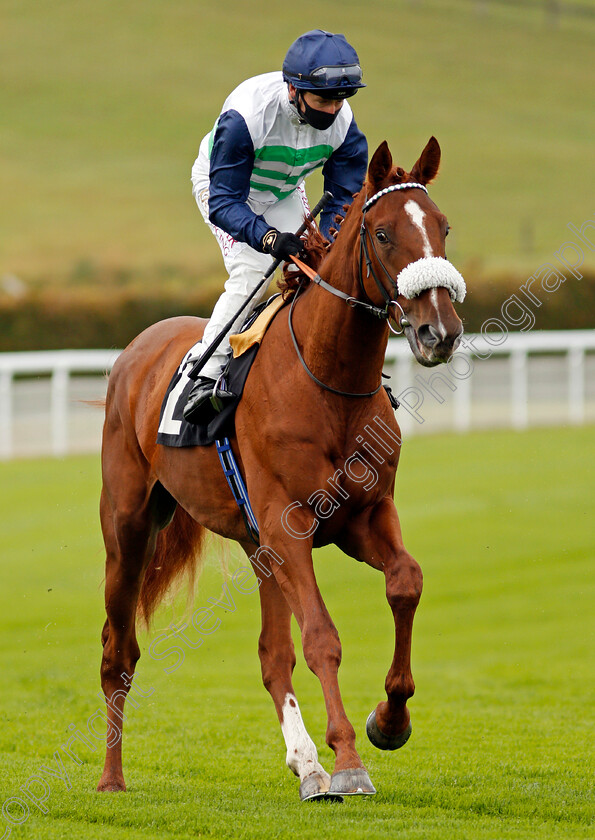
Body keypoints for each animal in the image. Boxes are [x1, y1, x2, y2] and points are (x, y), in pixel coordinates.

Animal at [96, 138, 466, 800]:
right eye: (382, 234)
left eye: (442, 227)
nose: (438, 332)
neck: (330, 383)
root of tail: (137, 348)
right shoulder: (289, 525)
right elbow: (321, 637)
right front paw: (348, 760)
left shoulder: (362, 516)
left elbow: (406, 581)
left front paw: (388, 721)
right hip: (131, 525)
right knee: (119, 652)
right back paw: (112, 779)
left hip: (257, 545)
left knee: (272, 655)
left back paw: (307, 765)